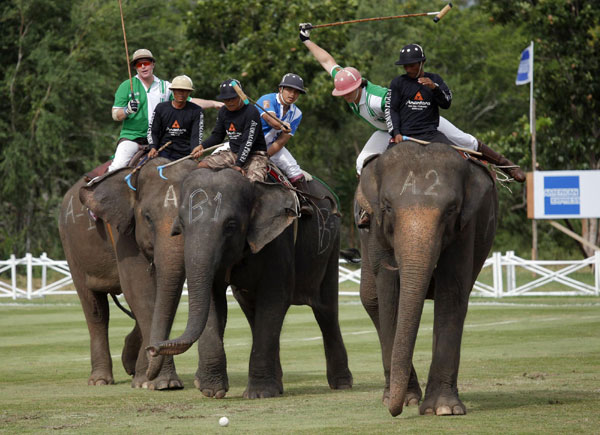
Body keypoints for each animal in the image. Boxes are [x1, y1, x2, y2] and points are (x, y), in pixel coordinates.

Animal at [57, 158, 196, 390]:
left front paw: (147, 378)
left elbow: (164, 294)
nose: (153, 350)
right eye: (147, 218)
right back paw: (100, 381)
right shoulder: (122, 232)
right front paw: (160, 383)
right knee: (95, 310)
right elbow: (140, 291)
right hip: (70, 244)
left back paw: (129, 363)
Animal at [147, 169, 352, 400]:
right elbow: (213, 301)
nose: (152, 348)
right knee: (252, 310)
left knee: (326, 310)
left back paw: (342, 384)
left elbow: (274, 299)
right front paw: (210, 390)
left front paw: (259, 394)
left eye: (231, 225)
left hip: (331, 248)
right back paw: (278, 386)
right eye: (181, 224)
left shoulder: (279, 239)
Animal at [356, 141, 496, 418]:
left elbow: (452, 288)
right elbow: (390, 294)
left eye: (451, 210)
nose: (395, 411)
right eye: (387, 207)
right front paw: (406, 399)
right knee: (371, 299)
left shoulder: (466, 227)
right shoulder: (376, 229)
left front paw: (443, 409)